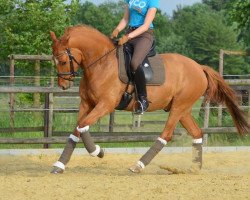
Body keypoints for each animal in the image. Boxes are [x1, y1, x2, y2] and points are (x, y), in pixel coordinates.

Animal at [49, 23, 250, 173]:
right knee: (197, 133)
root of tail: (199, 67)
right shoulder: (87, 104)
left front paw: (97, 151)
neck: (101, 63)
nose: (64, 85)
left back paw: (139, 165)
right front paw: (60, 165)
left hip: (178, 107)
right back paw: (195, 168)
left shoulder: (106, 105)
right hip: (182, 109)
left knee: (166, 135)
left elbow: (83, 125)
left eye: (64, 61)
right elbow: (77, 129)